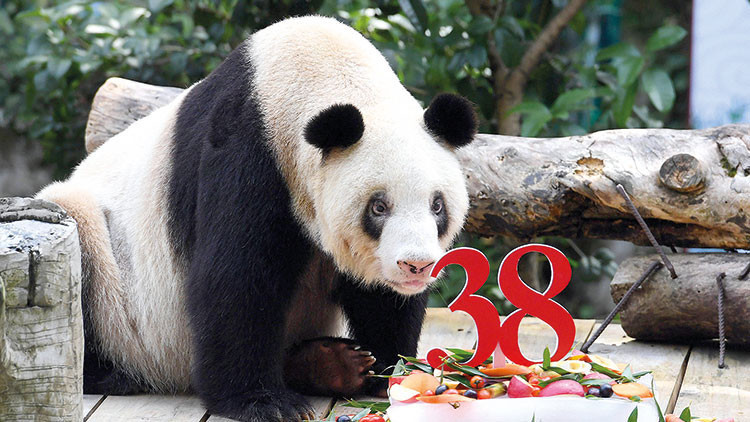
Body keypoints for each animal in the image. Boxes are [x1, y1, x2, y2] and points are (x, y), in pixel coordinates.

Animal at [37, 16, 477, 421]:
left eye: (437, 205)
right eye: (378, 207)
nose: (416, 265)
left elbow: (381, 297)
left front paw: (390, 372)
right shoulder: (249, 150)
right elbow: (237, 275)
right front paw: (263, 402)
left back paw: (329, 365)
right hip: (113, 277)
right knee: (79, 238)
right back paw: (111, 374)